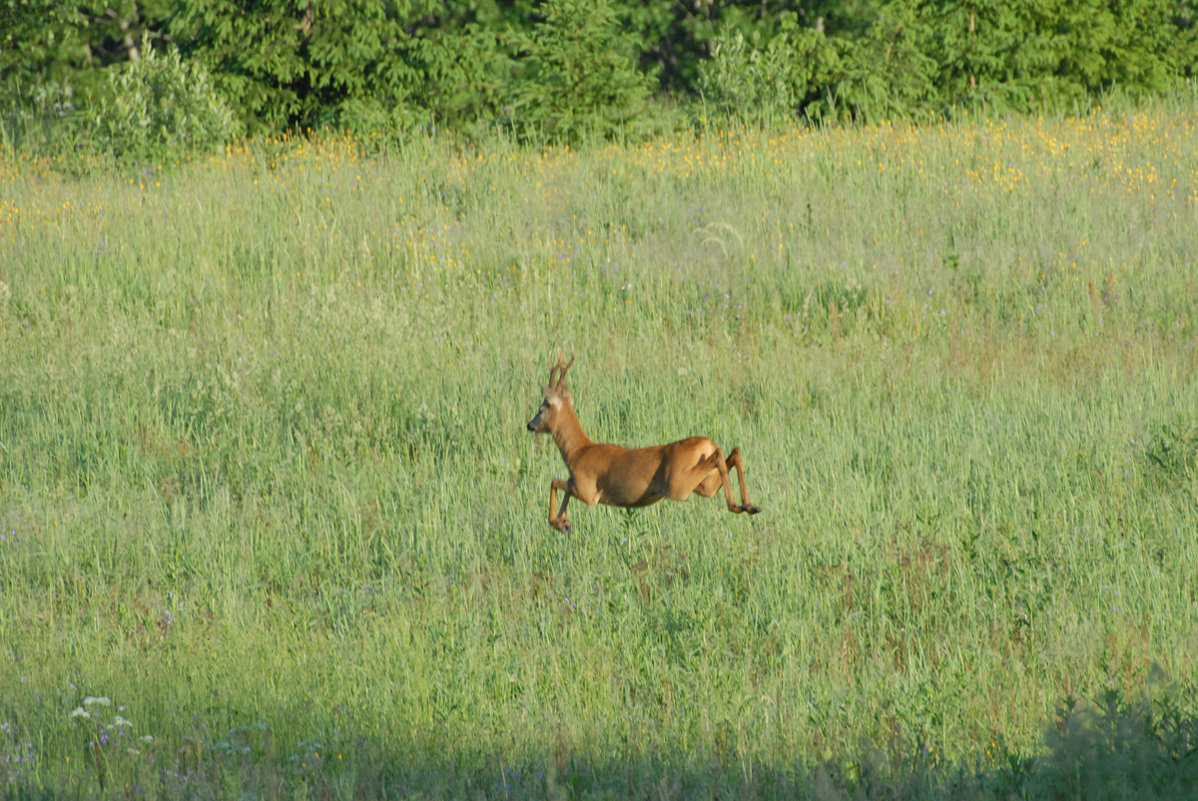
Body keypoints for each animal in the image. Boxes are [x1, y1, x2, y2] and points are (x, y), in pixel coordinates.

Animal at [524, 352, 757, 531]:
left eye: (542, 408)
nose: (530, 425)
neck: (577, 452)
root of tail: (707, 444)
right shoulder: (577, 483)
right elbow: (562, 486)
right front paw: (563, 523)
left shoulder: (588, 490)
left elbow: (555, 482)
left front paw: (557, 522)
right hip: (705, 485)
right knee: (733, 453)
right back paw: (748, 506)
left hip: (678, 485)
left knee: (720, 455)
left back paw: (737, 504)